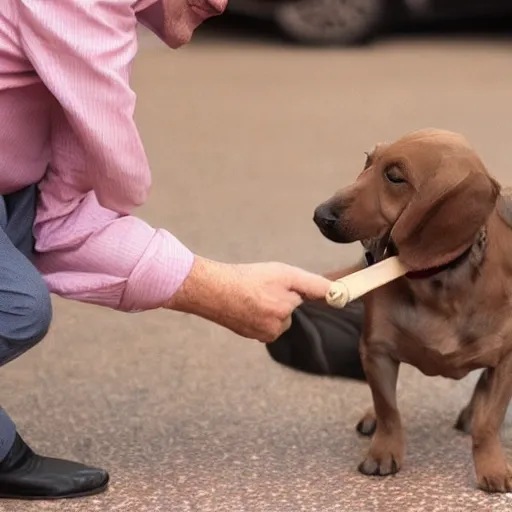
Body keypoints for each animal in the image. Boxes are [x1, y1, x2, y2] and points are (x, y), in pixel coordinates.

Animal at [314, 128, 512, 492]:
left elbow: (488, 423)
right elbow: (389, 410)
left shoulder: (505, 361)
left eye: (395, 177)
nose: (320, 215)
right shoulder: (376, 351)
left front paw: (491, 466)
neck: (436, 280)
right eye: (367, 161)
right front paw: (384, 452)